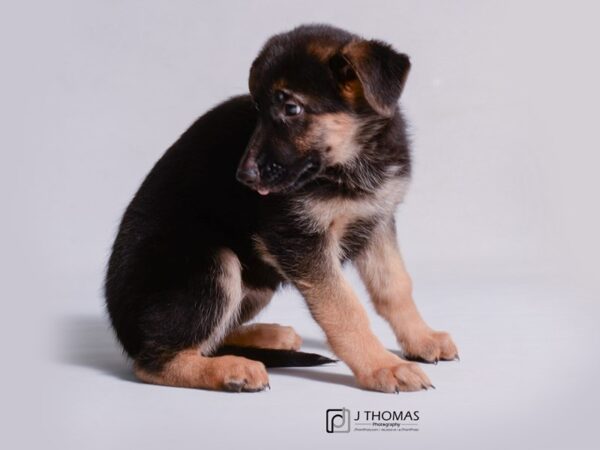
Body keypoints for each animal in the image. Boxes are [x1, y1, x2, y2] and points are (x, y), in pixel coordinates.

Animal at [105, 22, 458, 392]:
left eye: (291, 110)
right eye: (257, 110)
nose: (243, 177)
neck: (352, 161)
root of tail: (125, 336)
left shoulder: (376, 219)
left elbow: (396, 286)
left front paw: (421, 338)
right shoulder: (297, 237)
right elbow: (344, 308)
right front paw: (382, 366)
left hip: (258, 283)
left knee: (209, 339)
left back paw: (265, 337)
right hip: (215, 263)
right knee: (155, 361)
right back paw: (231, 369)